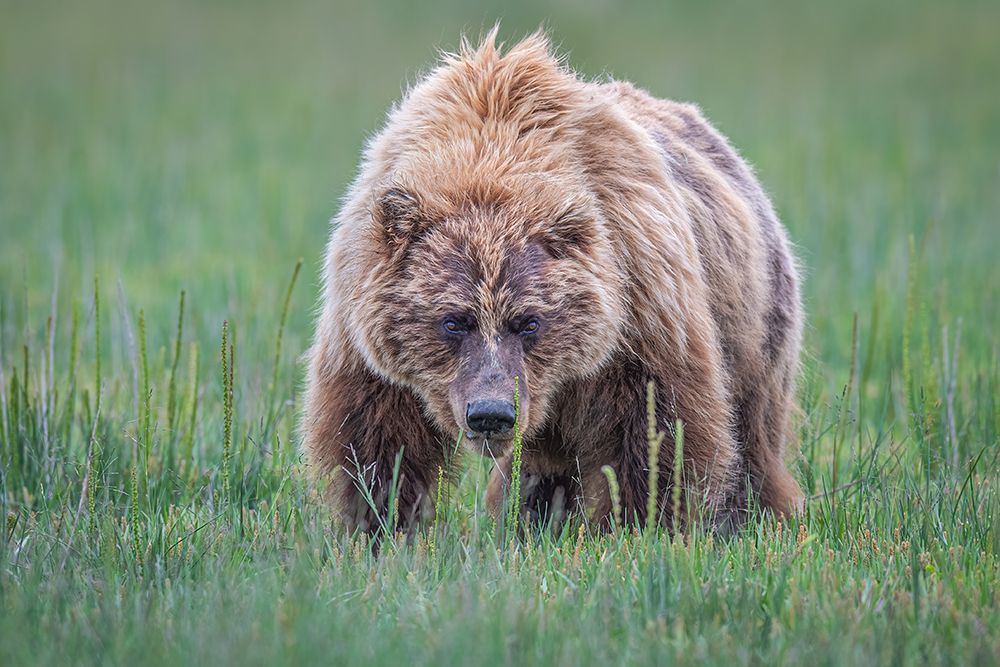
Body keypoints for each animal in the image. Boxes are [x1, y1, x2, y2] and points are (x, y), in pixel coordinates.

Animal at [298, 31, 804, 536]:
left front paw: (641, 527)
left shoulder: (638, 305)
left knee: (753, 434)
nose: (491, 414)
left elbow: (658, 430)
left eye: (529, 321)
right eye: (453, 321)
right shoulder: (362, 322)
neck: (492, 150)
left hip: (754, 326)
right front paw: (380, 524)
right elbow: (377, 435)